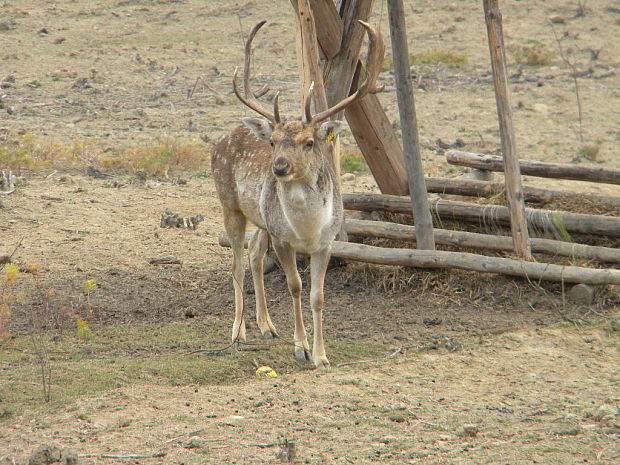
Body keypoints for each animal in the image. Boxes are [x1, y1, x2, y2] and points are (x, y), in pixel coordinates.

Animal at [212, 20, 382, 368]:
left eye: (309, 142)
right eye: (273, 141)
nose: (278, 167)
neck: (307, 230)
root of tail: (222, 138)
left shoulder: (326, 242)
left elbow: (318, 296)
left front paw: (321, 356)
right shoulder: (283, 239)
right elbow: (295, 287)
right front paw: (301, 347)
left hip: (263, 219)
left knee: (254, 254)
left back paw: (268, 326)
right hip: (230, 205)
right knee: (236, 264)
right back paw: (238, 332)